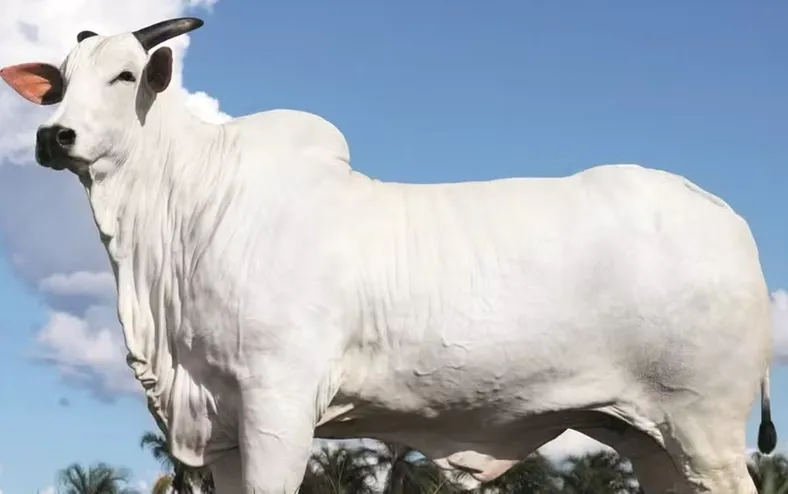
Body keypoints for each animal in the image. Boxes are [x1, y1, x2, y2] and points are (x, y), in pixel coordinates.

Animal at [0, 17, 777, 494]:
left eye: (126, 77)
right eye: (60, 81)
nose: (54, 137)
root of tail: (725, 216)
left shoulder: (278, 402)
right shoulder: (218, 425)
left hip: (706, 427)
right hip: (649, 436)